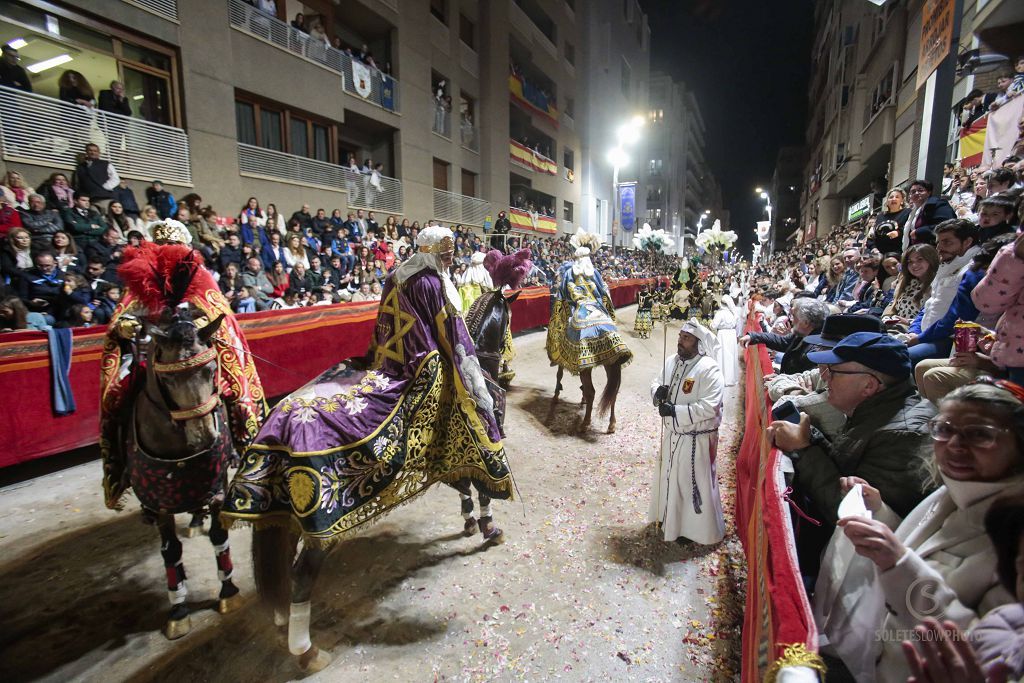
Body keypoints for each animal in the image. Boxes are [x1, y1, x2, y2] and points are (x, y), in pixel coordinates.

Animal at [125, 309, 239, 643]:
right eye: (167, 378)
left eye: (212, 369)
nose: (204, 435)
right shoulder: (161, 502)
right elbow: (170, 551)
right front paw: (178, 610)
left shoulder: (216, 487)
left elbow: (219, 535)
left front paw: (228, 592)